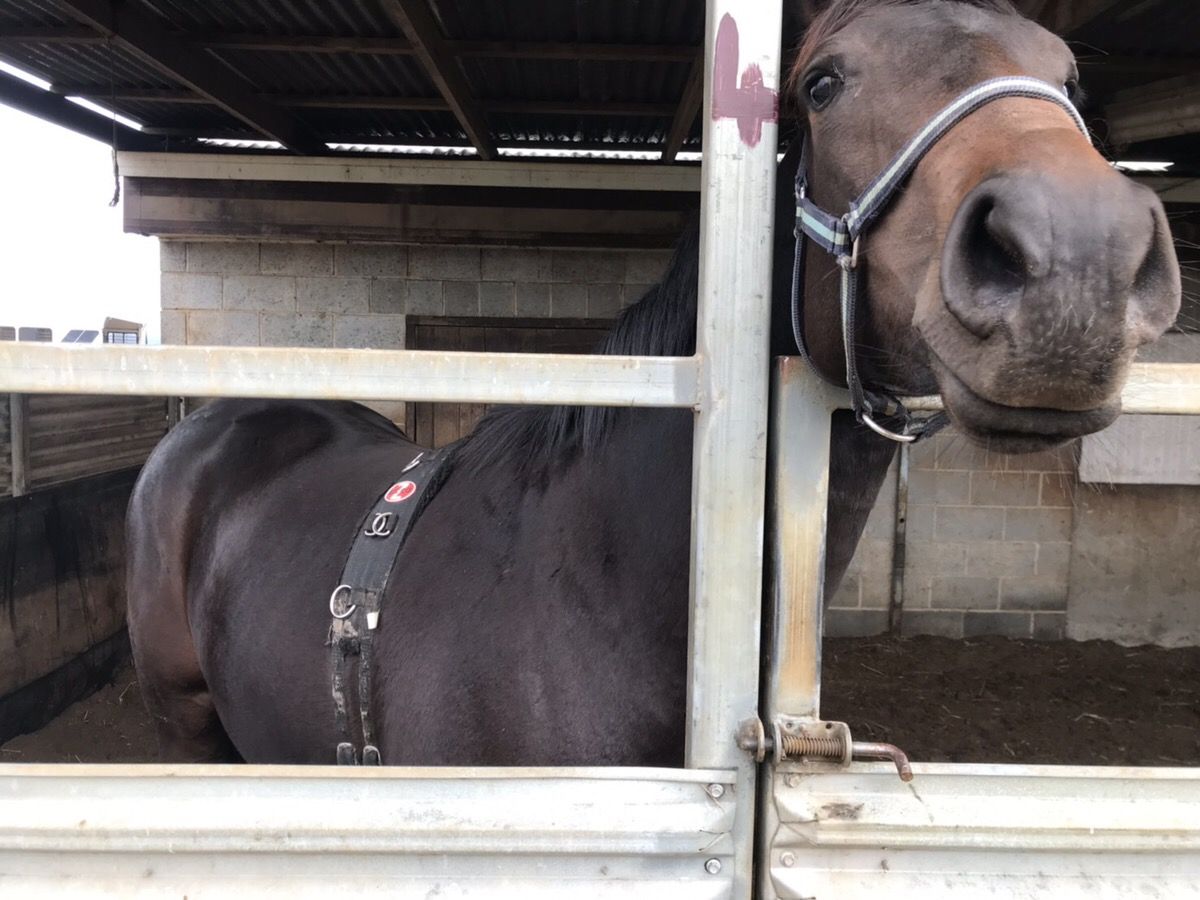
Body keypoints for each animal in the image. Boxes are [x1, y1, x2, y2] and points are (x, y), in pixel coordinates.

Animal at [126, 0, 1181, 766]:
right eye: (822, 82)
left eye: (1069, 78)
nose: (1077, 254)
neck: (589, 591)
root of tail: (204, 428)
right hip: (187, 731)